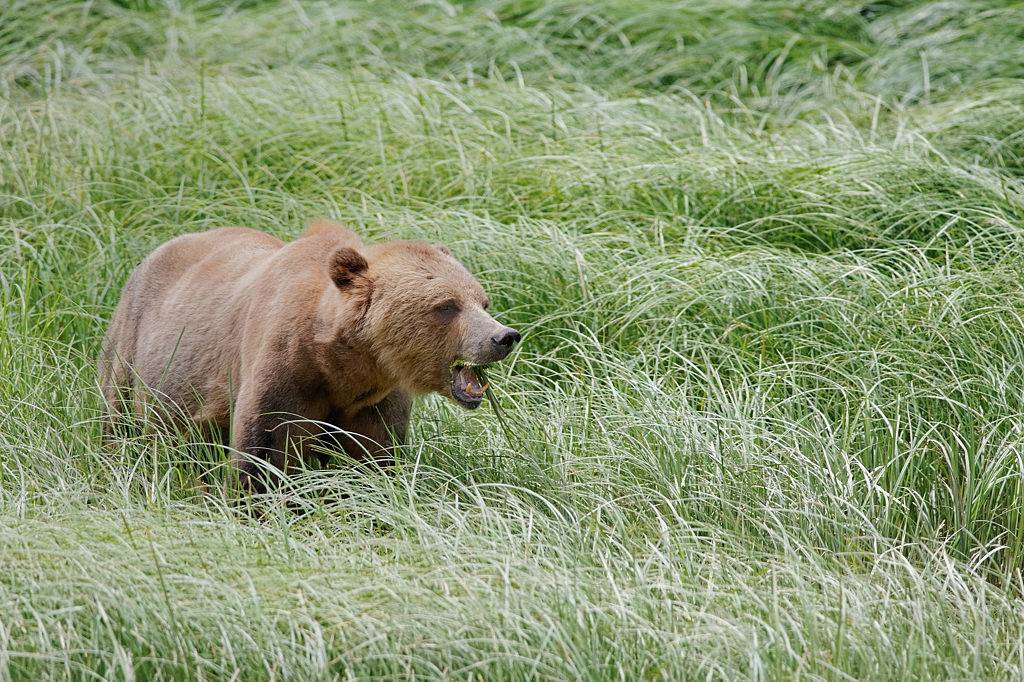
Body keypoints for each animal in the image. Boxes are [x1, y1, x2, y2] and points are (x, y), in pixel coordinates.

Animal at [96, 219, 520, 489]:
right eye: (446, 306)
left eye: (482, 301)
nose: (503, 336)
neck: (340, 364)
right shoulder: (283, 373)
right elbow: (262, 454)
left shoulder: (374, 401)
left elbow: (374, 458)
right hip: (134, 346)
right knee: (120, 422)